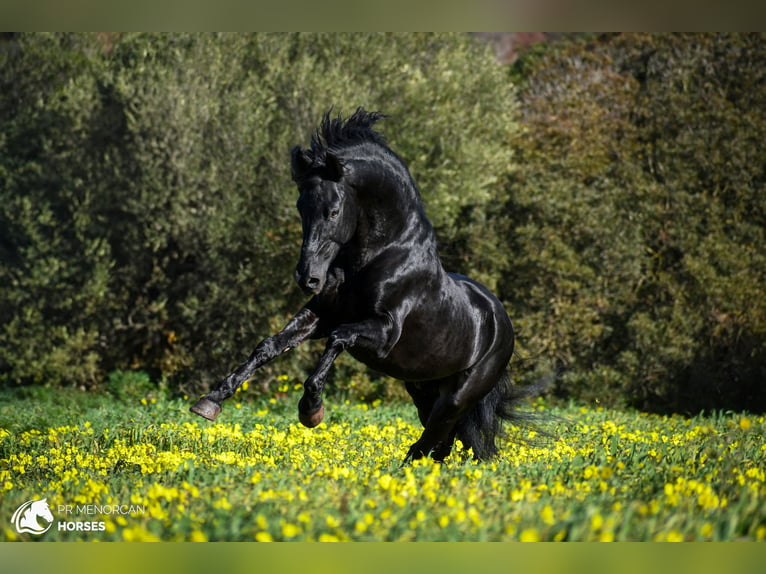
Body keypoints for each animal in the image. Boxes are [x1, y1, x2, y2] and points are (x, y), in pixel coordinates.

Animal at [194, 110, 536, 466]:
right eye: (301, 207)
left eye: (332, 211)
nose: (308, 278)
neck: (380, 255)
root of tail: (501, 319)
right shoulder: (320, 315)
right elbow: (269, 345)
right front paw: (211, 400)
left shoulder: (384, 332)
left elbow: (336, 339)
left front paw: (311, 410)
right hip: (423, 389)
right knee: (443, 439)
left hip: (458, 395)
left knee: (438, 435)